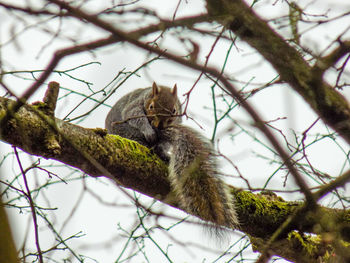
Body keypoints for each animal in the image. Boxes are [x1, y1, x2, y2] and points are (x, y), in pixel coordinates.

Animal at [105, 82, 239, 231]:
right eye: (151, 107)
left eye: (174, 110)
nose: (159, 125)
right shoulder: (134, 105)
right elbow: (135, 115)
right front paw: (148, 130)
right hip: (126, 131)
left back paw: (162, 152)